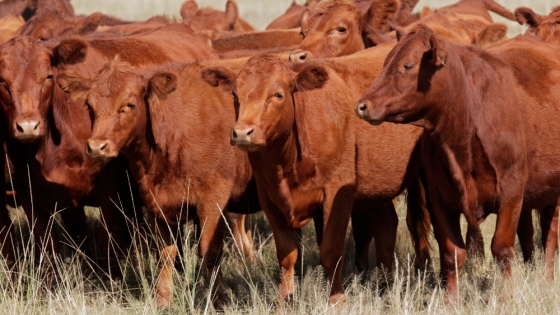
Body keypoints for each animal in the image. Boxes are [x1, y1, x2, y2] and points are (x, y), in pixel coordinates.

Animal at [55, 58, 258, 310]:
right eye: (89, 107)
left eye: (130, 104)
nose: (96, 147)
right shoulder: (156, 203)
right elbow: (165, 254)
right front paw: (162, 301)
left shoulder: (214, 199)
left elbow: (209, 251)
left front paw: (218, 301)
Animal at [356, 25, 560, 302]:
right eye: (385, 62)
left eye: (408, 65)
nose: (363, 106)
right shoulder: (439, 197)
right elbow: (452, 254)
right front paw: (450, 302)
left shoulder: (511, 192)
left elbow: (502, 248)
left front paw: (506, 298)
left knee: (550, 235)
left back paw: (548, 279)